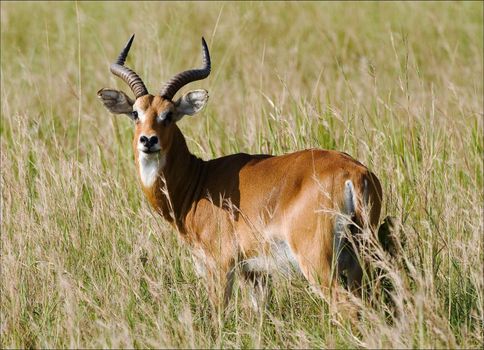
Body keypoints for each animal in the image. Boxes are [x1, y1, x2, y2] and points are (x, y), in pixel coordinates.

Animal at [97, 33, 382, 312]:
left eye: (168, 115)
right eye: (136, 113)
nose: (148, 140)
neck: (196, 184)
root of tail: (355, 173)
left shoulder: (221, 266)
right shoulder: (255, 274)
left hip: (318, 262)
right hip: (359, 258)